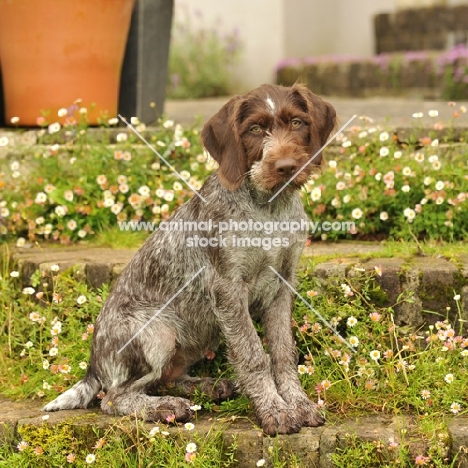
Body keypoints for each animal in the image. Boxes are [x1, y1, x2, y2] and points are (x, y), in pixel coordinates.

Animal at [44, 83, 336, 436]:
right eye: (254, 129)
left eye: (296, 123)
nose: (287, 166)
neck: (269, 208)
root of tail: (93, 363)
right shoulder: (228, 290)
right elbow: (253, 356)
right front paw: (275, 411)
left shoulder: (282, 287)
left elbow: (283, 354)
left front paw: (298, 403)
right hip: (160, 334)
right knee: (114, 397)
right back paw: (164, 408)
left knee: (162, 379)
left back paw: (207, 387)